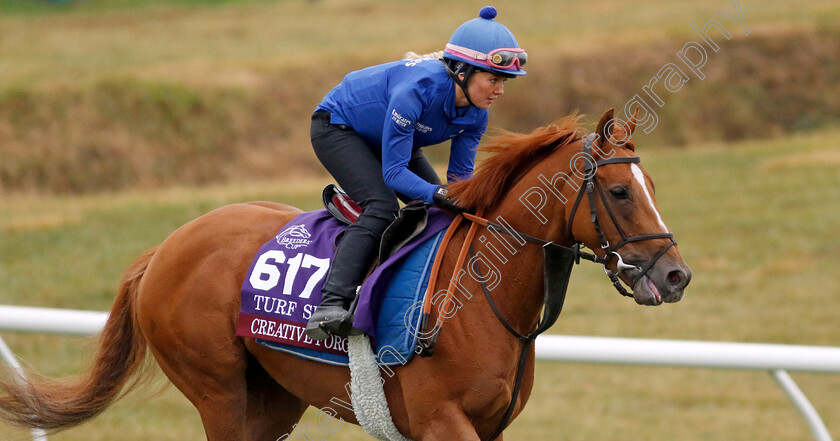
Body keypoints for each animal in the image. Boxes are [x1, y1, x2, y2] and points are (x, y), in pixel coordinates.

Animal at [1, 108, 688, 438]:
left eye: (655, 186)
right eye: (621, 192)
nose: (676, 275)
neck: (480, 296)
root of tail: (165, 248)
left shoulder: (488, 428)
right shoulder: (441, 422)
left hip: (272, 399)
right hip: (218, 392)